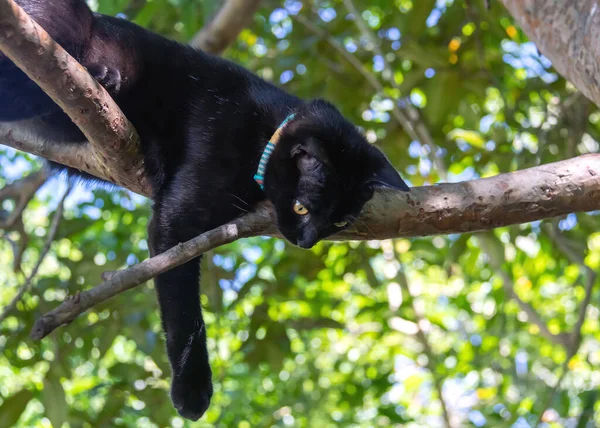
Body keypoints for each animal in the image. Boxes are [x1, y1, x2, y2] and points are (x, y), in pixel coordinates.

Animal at [0, 0, 408, 420]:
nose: (307, 241)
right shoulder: (177, 225)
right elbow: (185, 313)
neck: (265, 129)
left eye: (338, 221)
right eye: (302, 209)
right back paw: (103, 76)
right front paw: (192, 387)